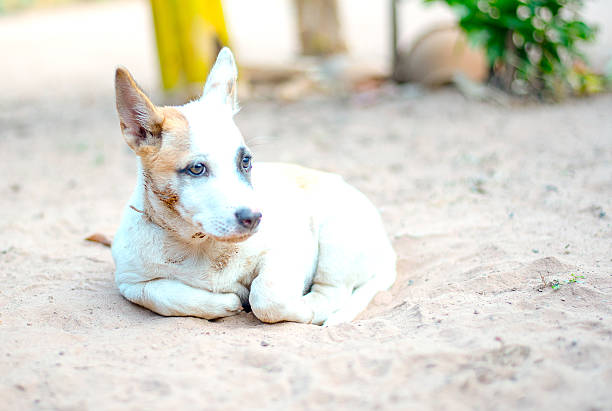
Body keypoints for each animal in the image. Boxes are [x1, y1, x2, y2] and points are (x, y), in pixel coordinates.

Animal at [111, 47, 396, 326]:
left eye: (245, 161)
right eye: (197, 169)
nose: (254, 218)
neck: (200, 244)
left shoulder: (292, 248)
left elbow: (266, 297)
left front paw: (294, 307)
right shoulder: (131, 283)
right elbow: (164, 295)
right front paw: (223, 303)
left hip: (337, 239)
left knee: (334, 292)